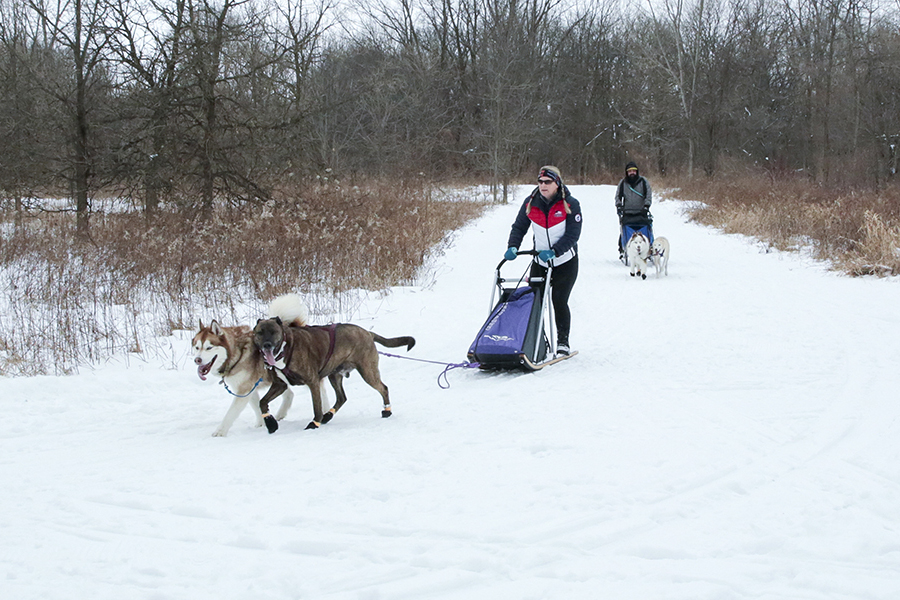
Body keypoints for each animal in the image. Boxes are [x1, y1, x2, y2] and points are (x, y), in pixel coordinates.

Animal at [191, 292, 310, 436]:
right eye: (197, 347)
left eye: (209, 348)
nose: (197, 360)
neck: (237, 354)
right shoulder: (249, 388)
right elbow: (257, 406)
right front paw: (263, 423)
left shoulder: (244, 390)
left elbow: (230, 413)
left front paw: (220, 431)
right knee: (289, 394)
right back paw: (280, 414)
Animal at [253, 318, 414, 432]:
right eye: (260, 332)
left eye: (273, 331)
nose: (267, 345)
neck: (285, 348)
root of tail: (368, 333)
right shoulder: (280, 384)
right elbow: (262, 402)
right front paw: (270, 422)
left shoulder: (312, 382)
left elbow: (316, 406)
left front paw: (314, 423)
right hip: (335, 375)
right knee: (342, 397)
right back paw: (328, 416)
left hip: (368, 371)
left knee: (383, 388)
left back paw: (387, 411)